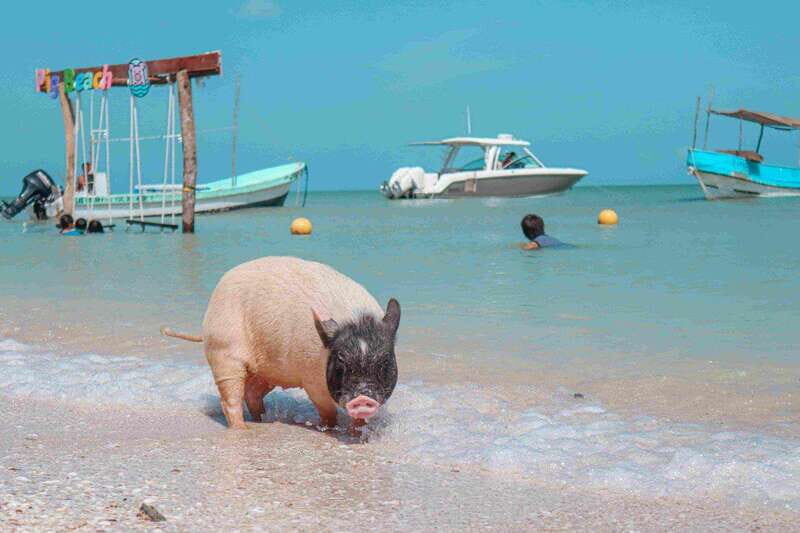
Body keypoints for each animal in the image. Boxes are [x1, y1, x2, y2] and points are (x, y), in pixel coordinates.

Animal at [161, 256, 400, 431]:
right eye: (341, 361)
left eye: (385, 361)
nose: (363, 397)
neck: (357, 320)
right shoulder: (311, 380)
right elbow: (327, 411)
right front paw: (327, 428)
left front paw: (357, 433)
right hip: (223, 351)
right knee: (230, 398)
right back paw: (243, 429)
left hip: (266, 370)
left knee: (252, 393)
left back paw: (261, 420)